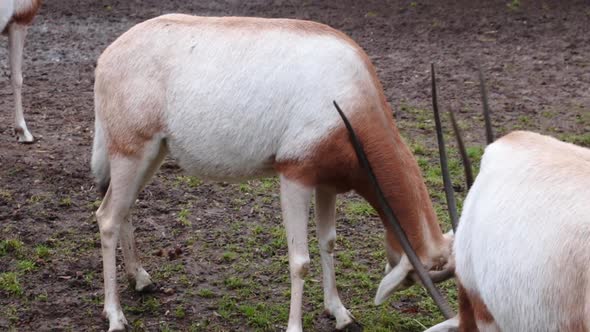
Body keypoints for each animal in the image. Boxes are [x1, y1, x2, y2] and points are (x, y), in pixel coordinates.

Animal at [91, 14, 458, 332]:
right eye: (415, 278)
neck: (350, 94)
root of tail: (109, 54)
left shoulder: (327, 180)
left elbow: (328, 242)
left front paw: (340, 313)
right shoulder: (294, 175)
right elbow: (300, 260)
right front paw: (296, 326)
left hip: (153, 153)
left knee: (124, 209)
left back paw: (141, 280)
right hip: (132, 152)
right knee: (107, 217)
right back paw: (116, 316)